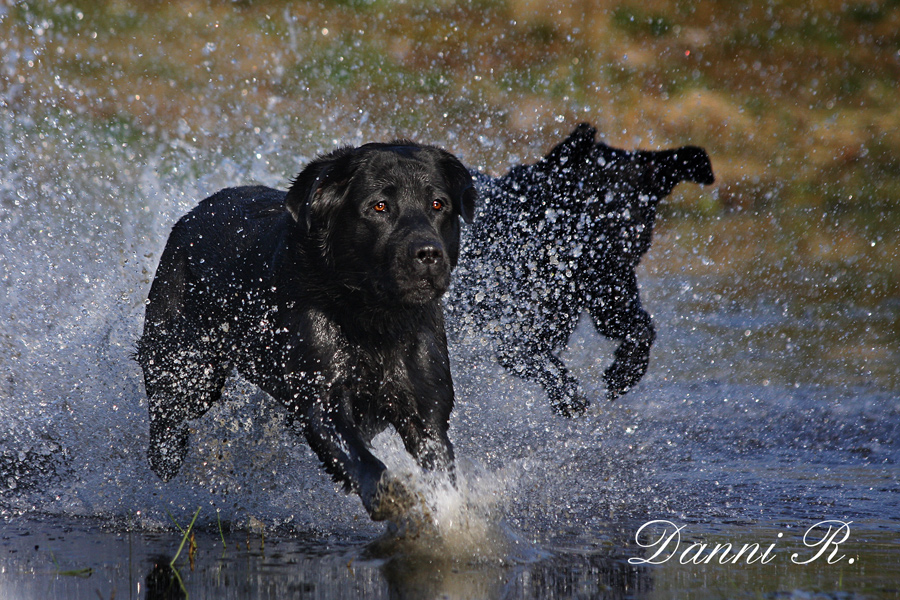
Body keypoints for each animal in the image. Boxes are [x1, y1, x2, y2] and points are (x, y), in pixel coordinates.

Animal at [454, 125, 712, 418]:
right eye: (590, 199)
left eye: (641, 201)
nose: (626, 240)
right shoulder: (514, 339)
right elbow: (551, 368)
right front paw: (569, 398)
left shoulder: (611, 304)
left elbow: (642, 329)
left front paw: (624, 373)